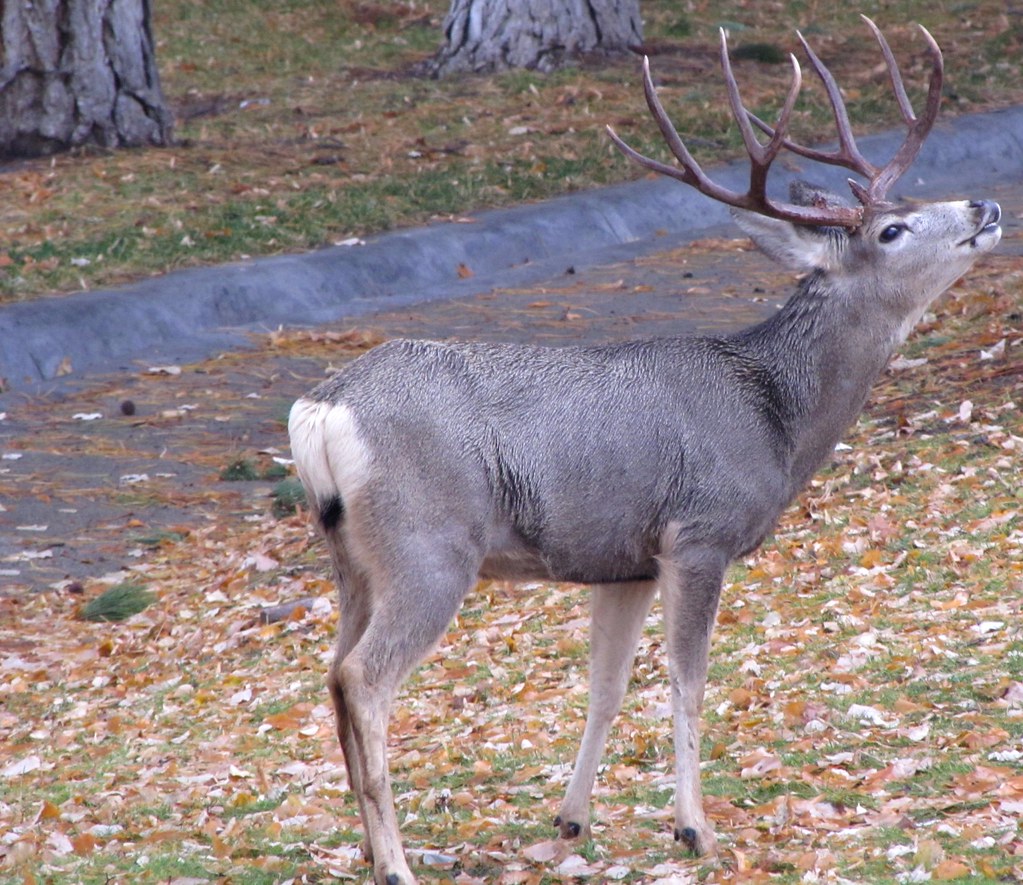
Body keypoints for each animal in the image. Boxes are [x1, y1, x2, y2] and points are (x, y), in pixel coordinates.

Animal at [288, 17, 1001, 885]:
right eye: (891, 229)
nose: (984, 203)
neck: (775, 415)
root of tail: (322, 409)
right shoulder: (697, 532)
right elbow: (686, 681)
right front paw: (695, 828)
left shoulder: (622, 557)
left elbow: (605, 686)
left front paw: (571, 817)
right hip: (428, 541)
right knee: (363, 677)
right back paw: (394, 861)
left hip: (352, 557)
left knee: (333, 672)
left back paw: (366, 844)